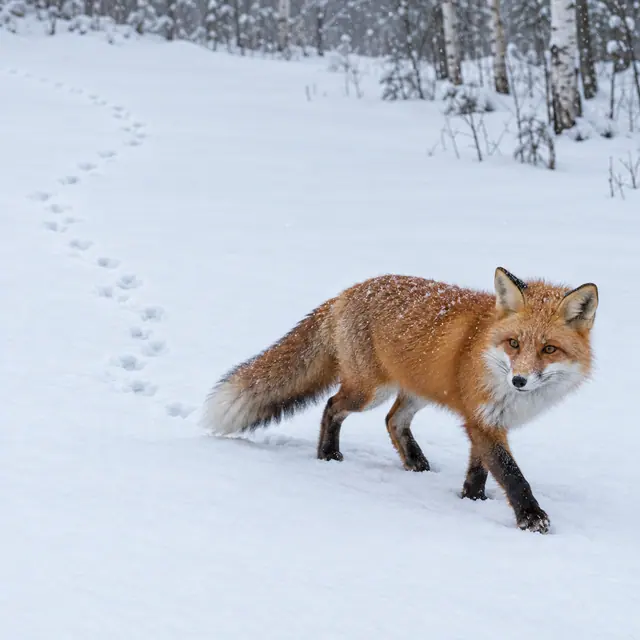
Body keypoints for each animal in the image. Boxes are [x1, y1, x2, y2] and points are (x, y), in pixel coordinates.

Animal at [202, 267, 598, 533]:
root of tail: (347, 292)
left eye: (549, 349)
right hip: (368, 392)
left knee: (393, 421)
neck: (487, 354)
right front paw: (531, 518)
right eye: (514, 343)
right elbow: (512, 475)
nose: (519, 380)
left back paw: (416, 464)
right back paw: (329, 455)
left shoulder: (482, 421)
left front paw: (471, 500)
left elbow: (481, 471)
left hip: (415, 392)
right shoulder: (482, 419)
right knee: (333, 406)